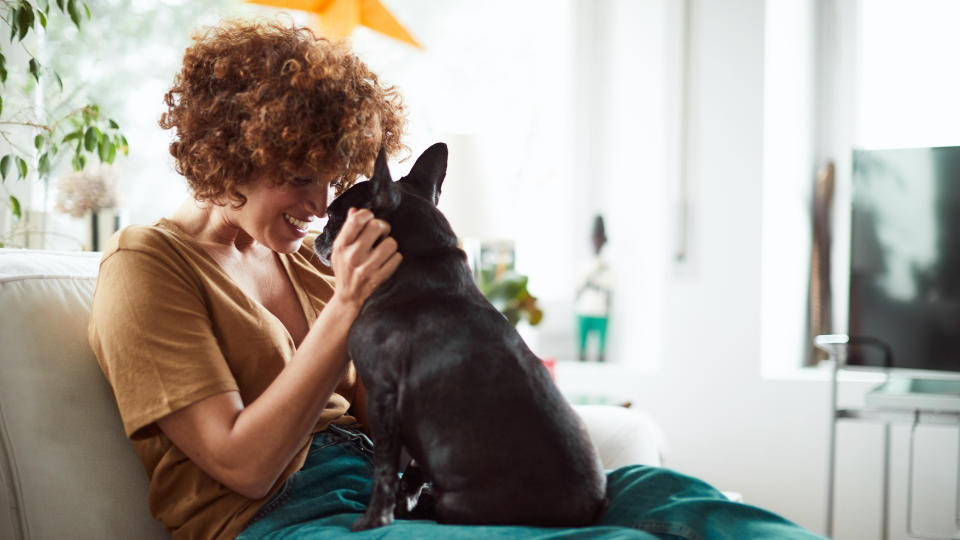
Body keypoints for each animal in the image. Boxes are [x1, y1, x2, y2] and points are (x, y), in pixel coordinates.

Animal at [316, 142, 608, 532]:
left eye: (334, 216)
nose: (319, 234)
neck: (418, 263)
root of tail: (588, 512)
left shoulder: (382, 394)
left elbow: (384, 467)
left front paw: (375, 517)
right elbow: (413, 468)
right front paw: (404, 502)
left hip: (460, 503)